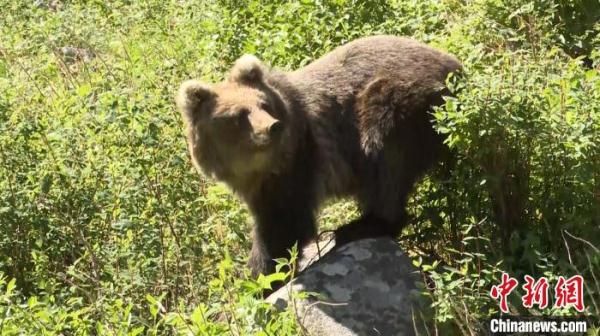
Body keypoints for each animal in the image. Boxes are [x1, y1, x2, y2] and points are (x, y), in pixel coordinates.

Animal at [176, 35, 462, 280]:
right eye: (239, 115)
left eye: (263, 105)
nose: (273, 127)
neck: (256, 169)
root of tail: (455, 66)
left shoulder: (297, 160)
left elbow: (283, 224)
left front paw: (262, 275)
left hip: (399, 103)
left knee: (383, 157)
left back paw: (359, 226)